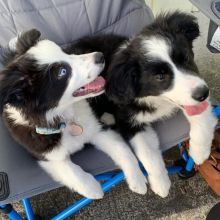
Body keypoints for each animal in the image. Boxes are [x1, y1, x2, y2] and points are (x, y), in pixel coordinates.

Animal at [0, 29, 148, 199]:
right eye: (62, 72)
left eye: (64, 52)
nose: (100, 56)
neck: (64, 115)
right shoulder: (45, 154)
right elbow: (71, 172)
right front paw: (94, 189)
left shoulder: (96, 128)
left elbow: (123, 150)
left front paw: (137, 179)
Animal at [71, 11, 217, 198]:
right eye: (160, 77)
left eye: (186, 58)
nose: (203, 93)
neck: (156, 99)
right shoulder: (129, 121)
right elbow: (147, 153)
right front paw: (161, 184)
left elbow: (201, 117)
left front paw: (199, 152)